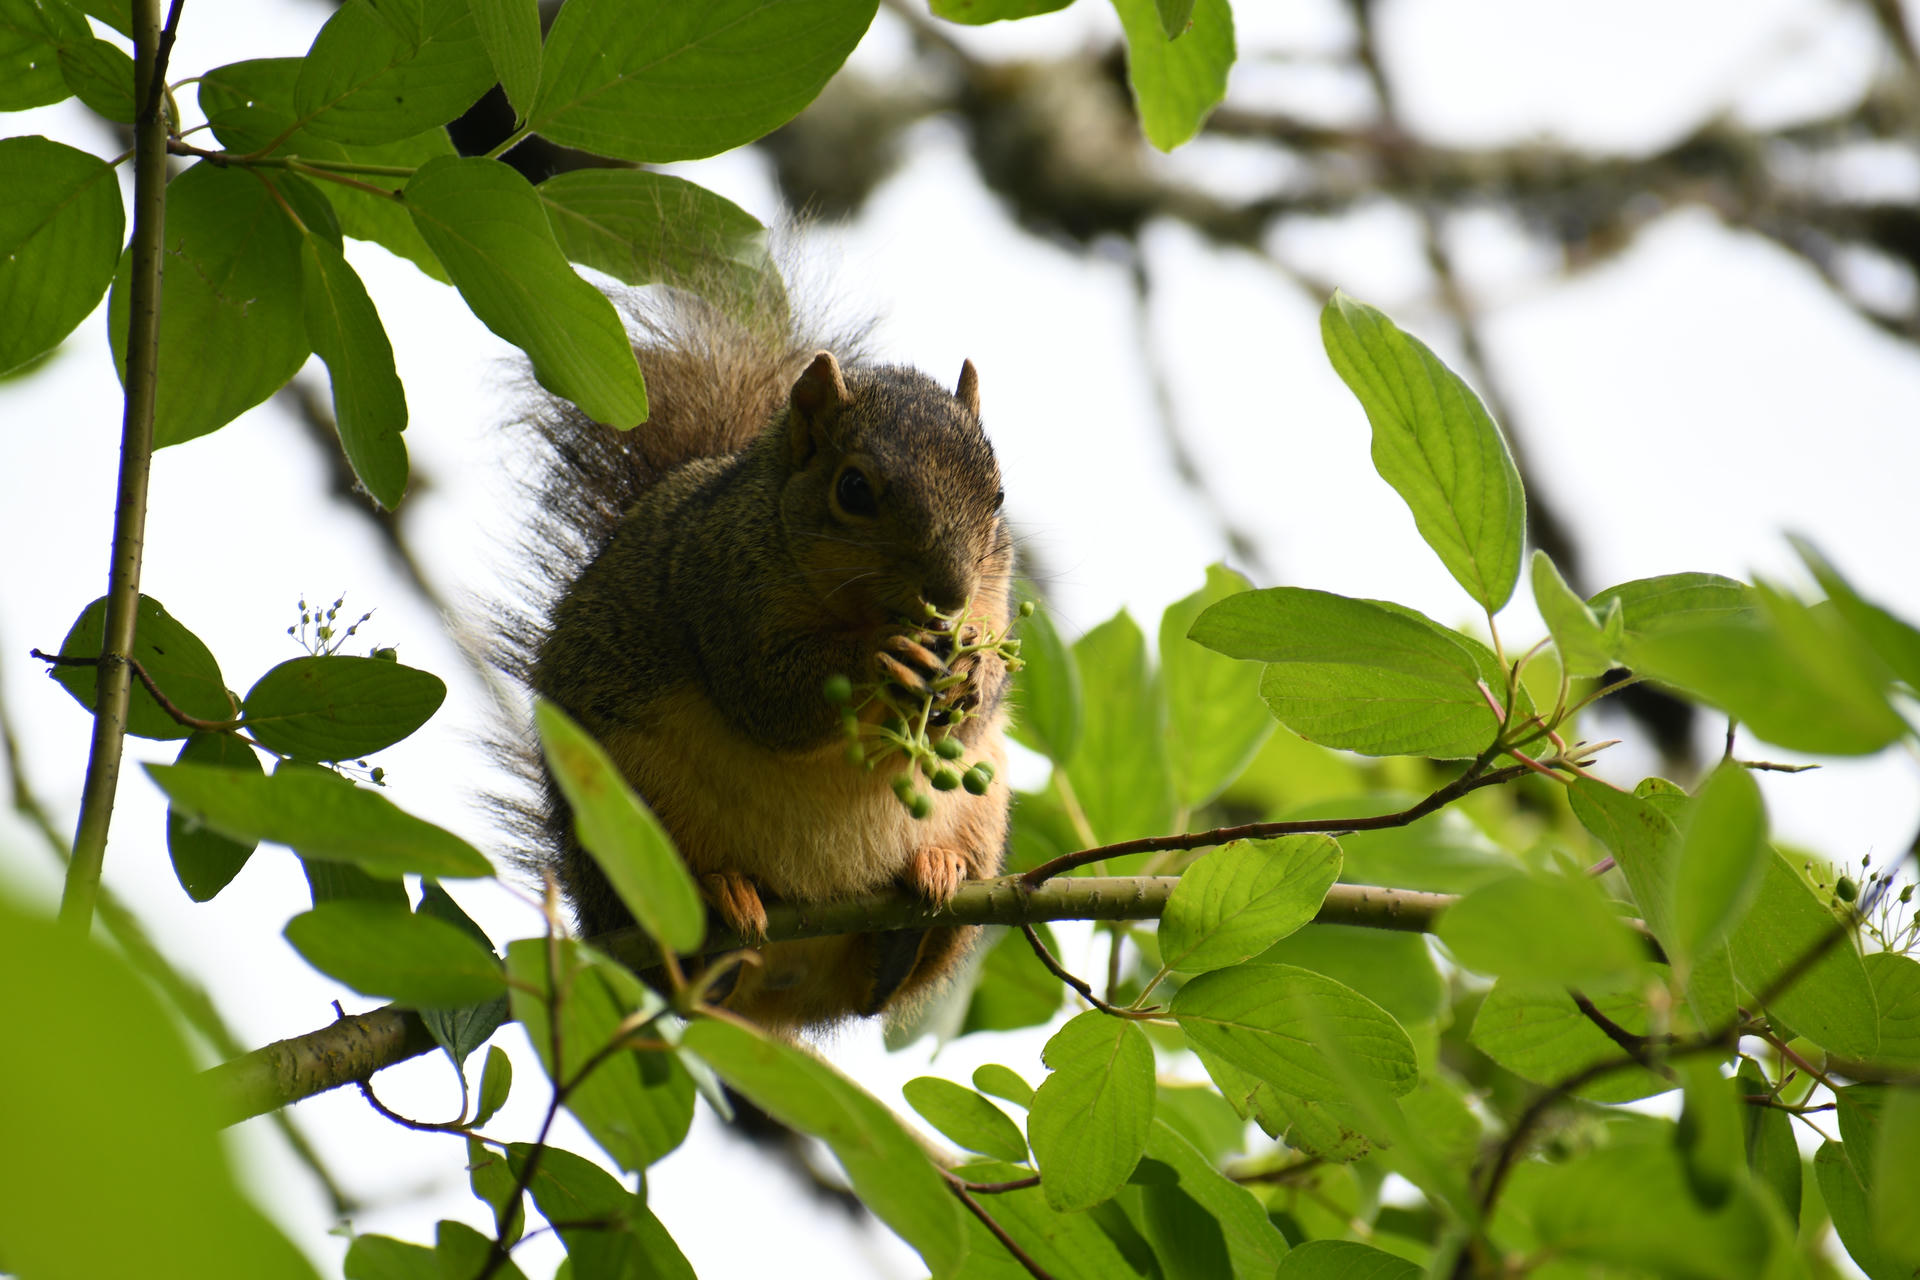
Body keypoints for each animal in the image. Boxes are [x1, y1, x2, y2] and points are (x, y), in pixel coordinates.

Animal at [494, 284, 1016, 1033]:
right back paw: (720, 903)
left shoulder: (995, 600)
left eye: (998, 496)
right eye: (853, 490)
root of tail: (782, 1002)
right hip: (623, 818)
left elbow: (979, 704)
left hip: (983, 816)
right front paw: (881, 658)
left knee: (883, 989)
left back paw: (926, 893)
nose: (949, 595)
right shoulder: (723, 589)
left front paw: (972, 674)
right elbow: (769, 694)